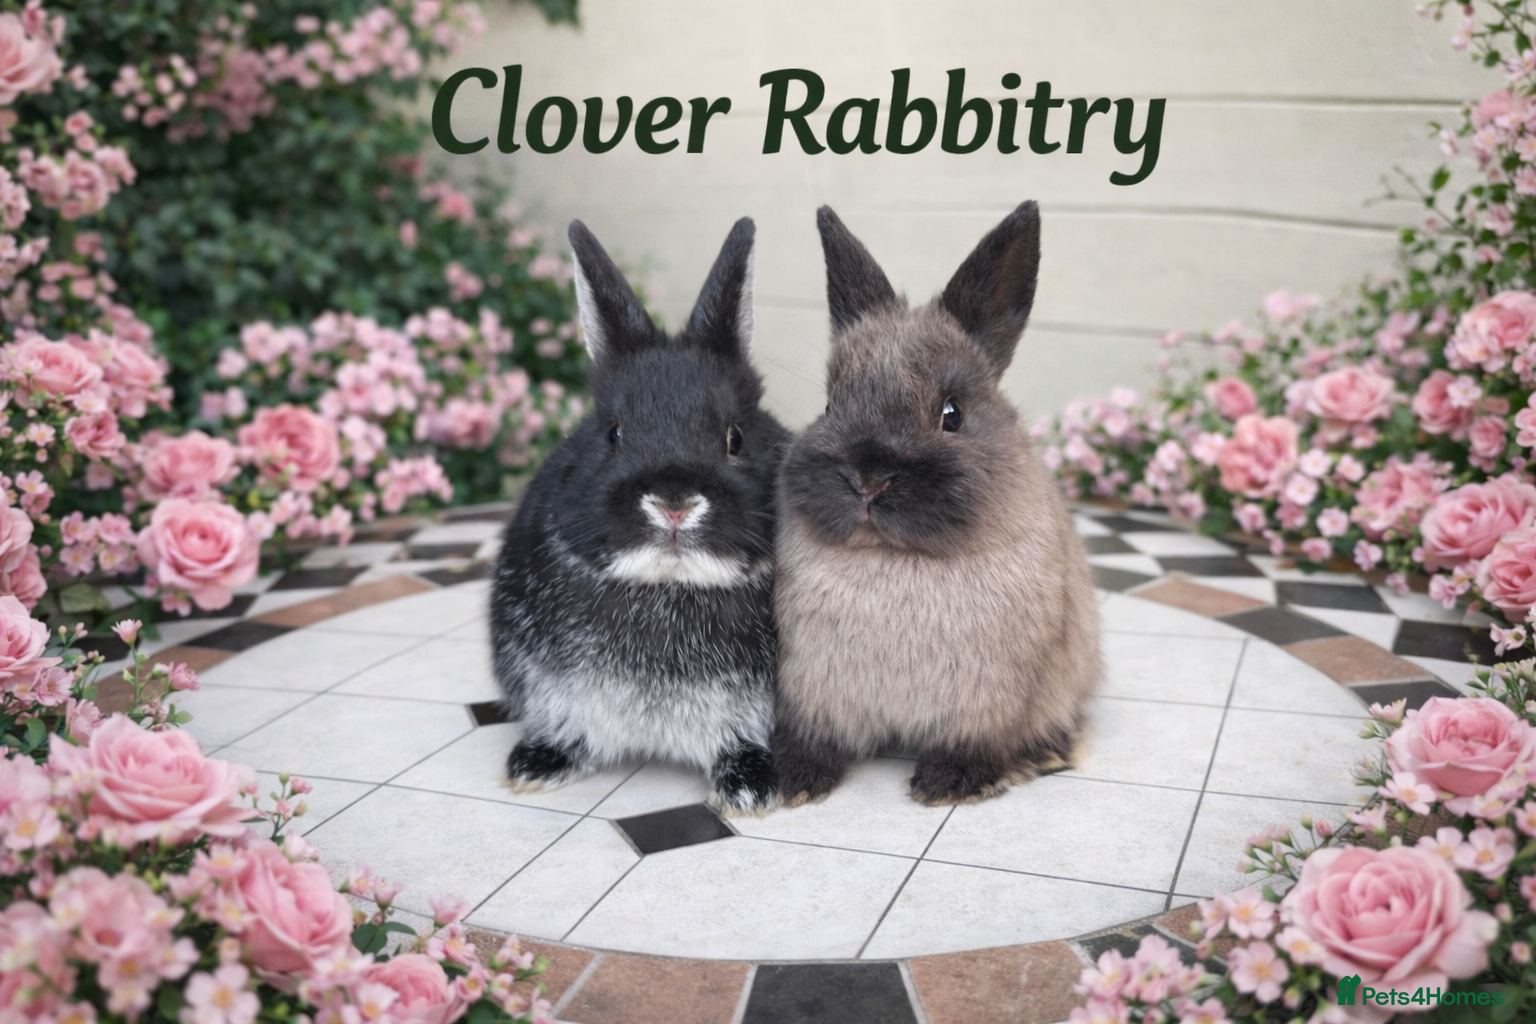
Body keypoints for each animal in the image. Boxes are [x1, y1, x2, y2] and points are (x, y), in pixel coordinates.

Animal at [490, 216, 791, 814]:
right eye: (612, 434)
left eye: (736, 437)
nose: (674, 504)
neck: (668, 585)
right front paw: (536, 766)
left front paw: (750, 789)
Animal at [772, 201, 1100, 807]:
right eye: (829, 405)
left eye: (952, 414)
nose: (868, 479)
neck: (894, 558)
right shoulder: (810, 690)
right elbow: (815, 737)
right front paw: (793, 778)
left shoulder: (990, 701)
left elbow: (976, 741)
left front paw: (949, 783)